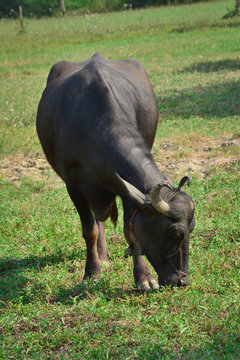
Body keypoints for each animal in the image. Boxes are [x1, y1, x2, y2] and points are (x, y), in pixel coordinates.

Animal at [37, 52, 195, 290]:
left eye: (191, 229)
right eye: (176, 233)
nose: (182, 281)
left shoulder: (126, 191)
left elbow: (130, 233)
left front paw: (143, 277)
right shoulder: (73, 188)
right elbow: (89, 230)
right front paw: (91, 272)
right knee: (97, 220)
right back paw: (101, 257)